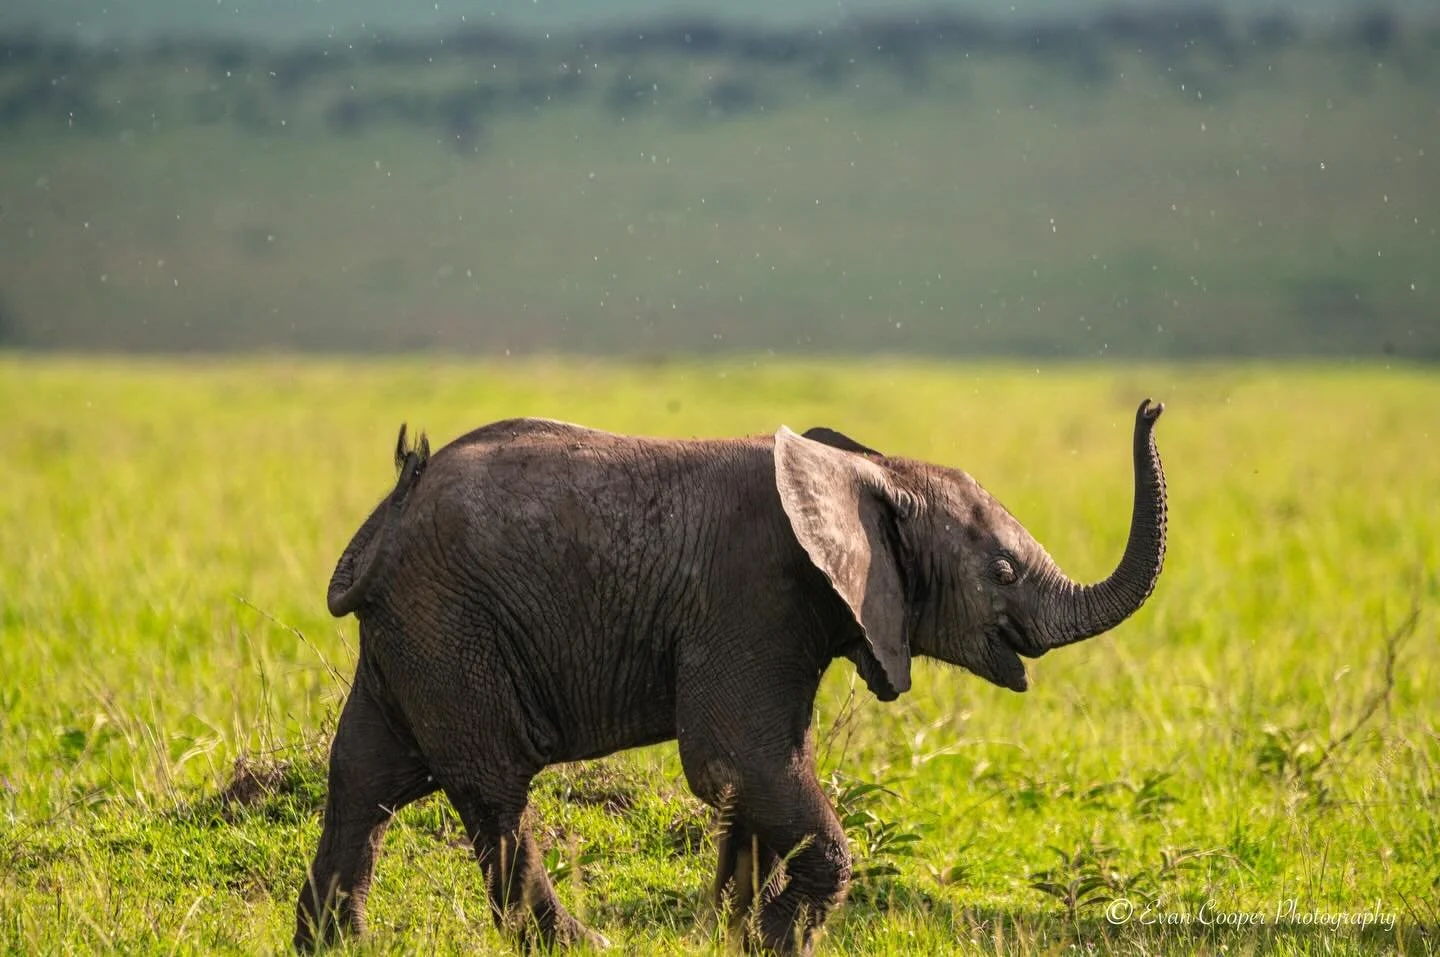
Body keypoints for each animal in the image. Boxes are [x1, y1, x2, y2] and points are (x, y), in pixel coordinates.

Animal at [295, 400, 1167, 954]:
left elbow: (761, 774)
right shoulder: (755, 594)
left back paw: (334, 944)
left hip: (412, 637)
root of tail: (385, 525)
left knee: (364, 779)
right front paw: (775, 940)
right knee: (490, 789)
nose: (1151, 408)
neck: (871, 470)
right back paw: (579, 942)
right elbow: (735, 758)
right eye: (1004, 570)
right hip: (450, 625)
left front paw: (726, 933)